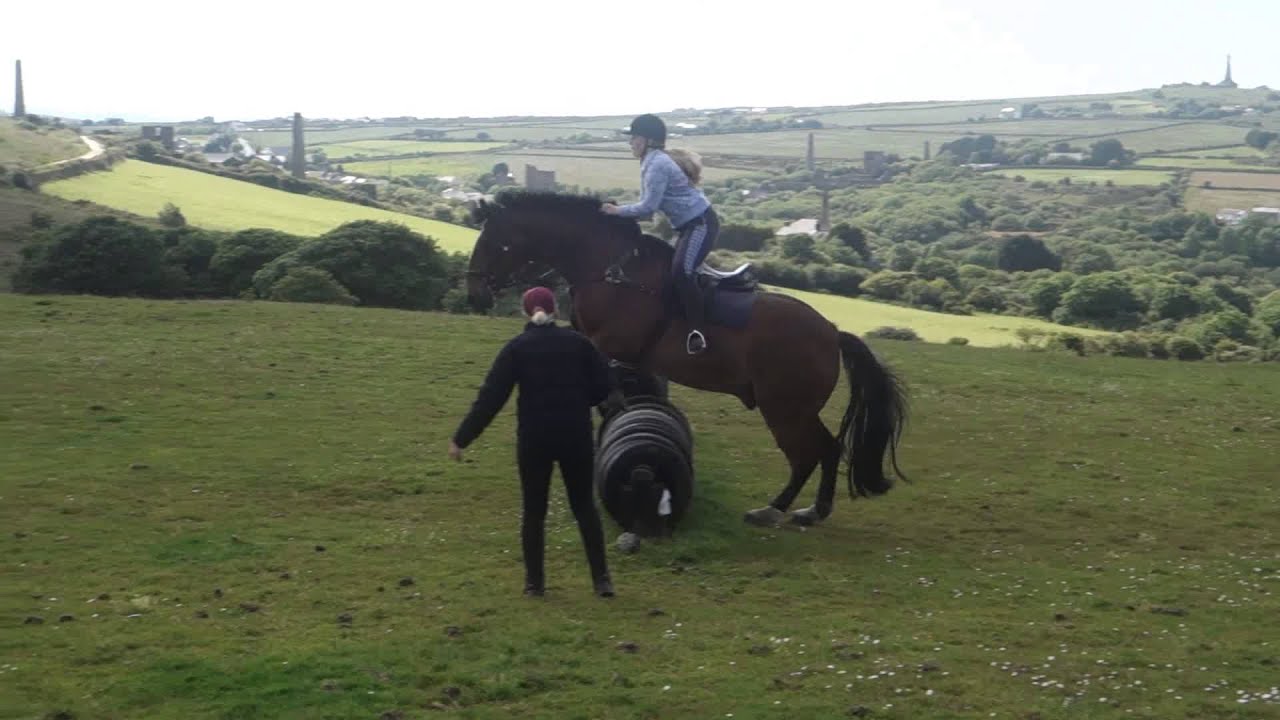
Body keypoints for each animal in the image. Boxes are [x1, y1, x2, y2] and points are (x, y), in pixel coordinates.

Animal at [463, 189, 911, 527]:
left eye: (494, 242)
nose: (475, 294)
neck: (609, 272)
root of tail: (832, 333)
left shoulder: (611, 345)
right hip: (794, 408)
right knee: (827, 450)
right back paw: (811, 510)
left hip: (784, 408)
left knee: (808, 455)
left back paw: (776, 509)